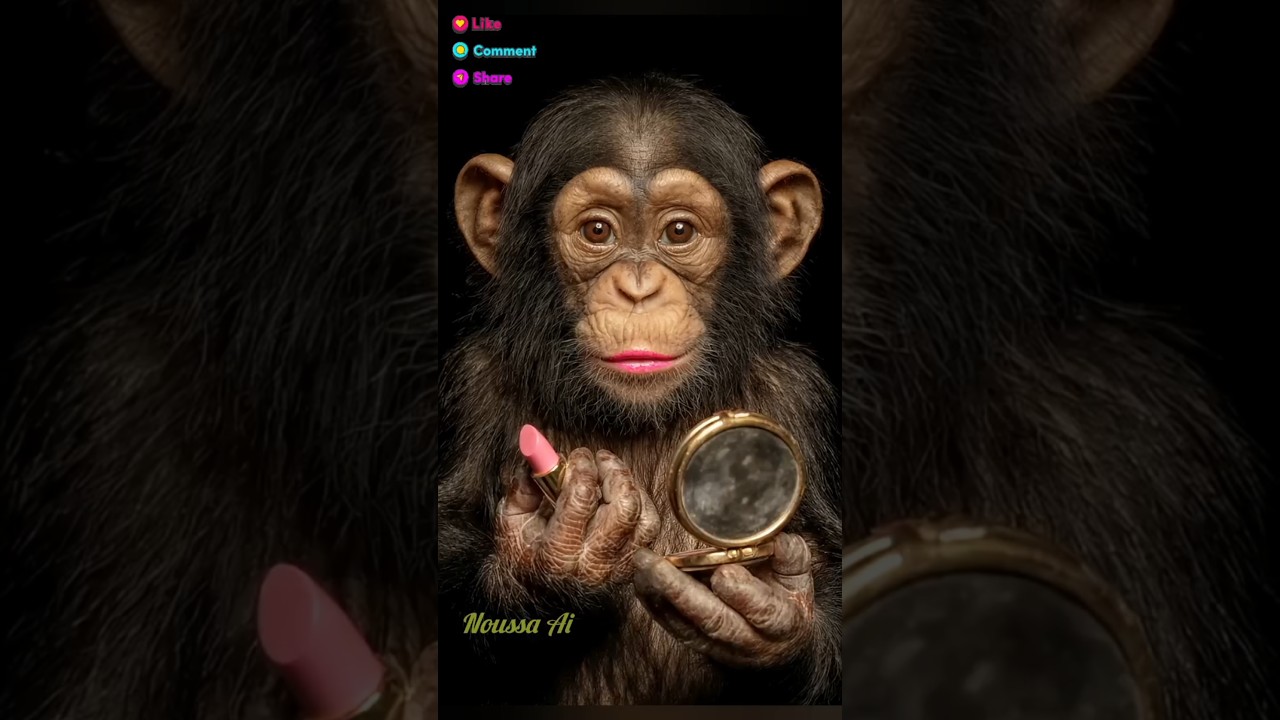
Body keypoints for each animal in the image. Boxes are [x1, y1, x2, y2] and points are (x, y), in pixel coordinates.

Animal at [438, 75, 842, 705]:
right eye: (597, 231)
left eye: (679, 231)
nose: (638, 289)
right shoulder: (470, 387)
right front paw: (544, 567)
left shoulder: (799, 394)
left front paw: (781, 619)